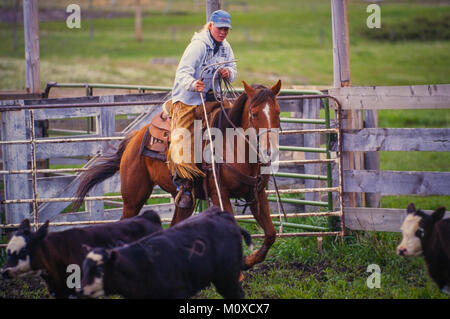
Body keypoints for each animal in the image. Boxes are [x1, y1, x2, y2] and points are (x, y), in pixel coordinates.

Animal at [74, 80, 282, 270]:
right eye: (254, 114)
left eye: (278, 112)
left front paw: (248, 261)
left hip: (184, 200)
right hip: (133, 198)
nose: (269, 151)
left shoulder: (256, 195)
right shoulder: (219, 194)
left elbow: (271, 233)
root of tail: (135, 136)